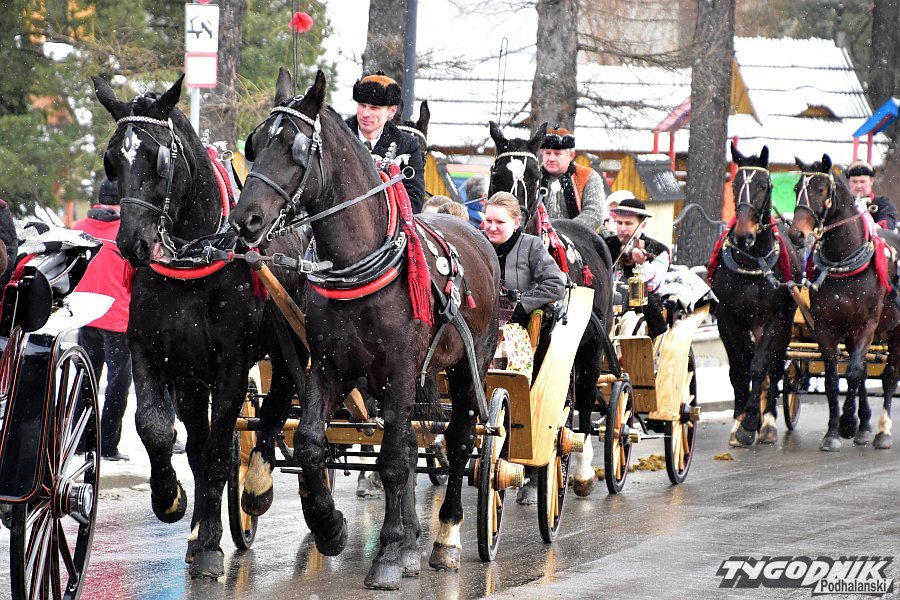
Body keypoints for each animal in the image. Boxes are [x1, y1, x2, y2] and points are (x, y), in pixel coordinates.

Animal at [93, 74, 308, 578]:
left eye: (160, 158)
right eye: (112, 160)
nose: (133, 244)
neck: (196, 261)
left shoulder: (231, 364)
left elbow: (215, 451)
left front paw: (210, 545)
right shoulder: (154, 353)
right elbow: (158, 428)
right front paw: (171, 502)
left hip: (290, 346)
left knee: (275, 412)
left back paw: (257, 488)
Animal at [229, 68, 500, 590]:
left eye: (295, 147)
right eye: (256, 142)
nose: (244, 219)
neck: (358, 265)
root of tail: (479, 240)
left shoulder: (399, 370)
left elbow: (392, 460)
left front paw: (389, 554)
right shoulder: (329, 364)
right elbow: (311, 442)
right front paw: (329, 527)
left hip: (467, 366)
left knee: (458, 443)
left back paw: (444, 539)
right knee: (412, 442)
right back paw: (412, 539)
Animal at [487, 122, 614, 497]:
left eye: (534, 175)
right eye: (496, 173)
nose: (511, 215)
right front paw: (523, 473)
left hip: (591, 346)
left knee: (584, 399)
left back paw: (582, 467)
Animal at [708, 144, 802, 446]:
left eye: (764, 185)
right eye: (735, 184)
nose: (743, 235)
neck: (751, 262)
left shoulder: (772, 318)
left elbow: (760, 366)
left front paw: (751, 423)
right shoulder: (727, 318)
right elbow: (738, 368)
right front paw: (741, 419)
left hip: (786, 324)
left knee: (775, 365)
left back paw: (768, 420)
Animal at [788, 154, 896, 451]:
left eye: (821, 189)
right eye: (796, 188)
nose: (796, 235)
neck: (845, 262)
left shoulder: (867, 324)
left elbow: (855, 371)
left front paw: (848, 423)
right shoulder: (827, 326)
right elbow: (834, 378)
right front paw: (833, 432)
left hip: (894, 332)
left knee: (889, 375)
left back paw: (882, 431)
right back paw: (865, 425)